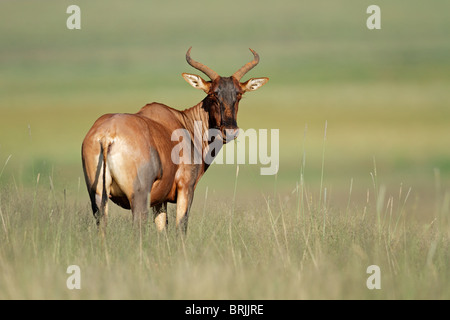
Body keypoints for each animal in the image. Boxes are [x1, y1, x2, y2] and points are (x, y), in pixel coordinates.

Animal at [81, 47, 268, 232]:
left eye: (239, 94)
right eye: (214, 94)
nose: (230, 131)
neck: (184, 122)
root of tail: (107, 136)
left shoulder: (160, 200)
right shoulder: (185, 188)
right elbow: (181, 227)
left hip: (98, 197)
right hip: (139, 197)